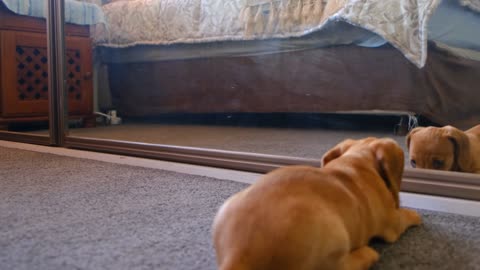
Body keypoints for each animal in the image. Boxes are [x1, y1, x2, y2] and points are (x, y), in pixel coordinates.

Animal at [213, 138, 420, 270]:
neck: (356, 161)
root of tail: (237, 256)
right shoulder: (393, 223)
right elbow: (405, 216)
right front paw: (415, 215)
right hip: (336, 238)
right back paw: (367, 255)